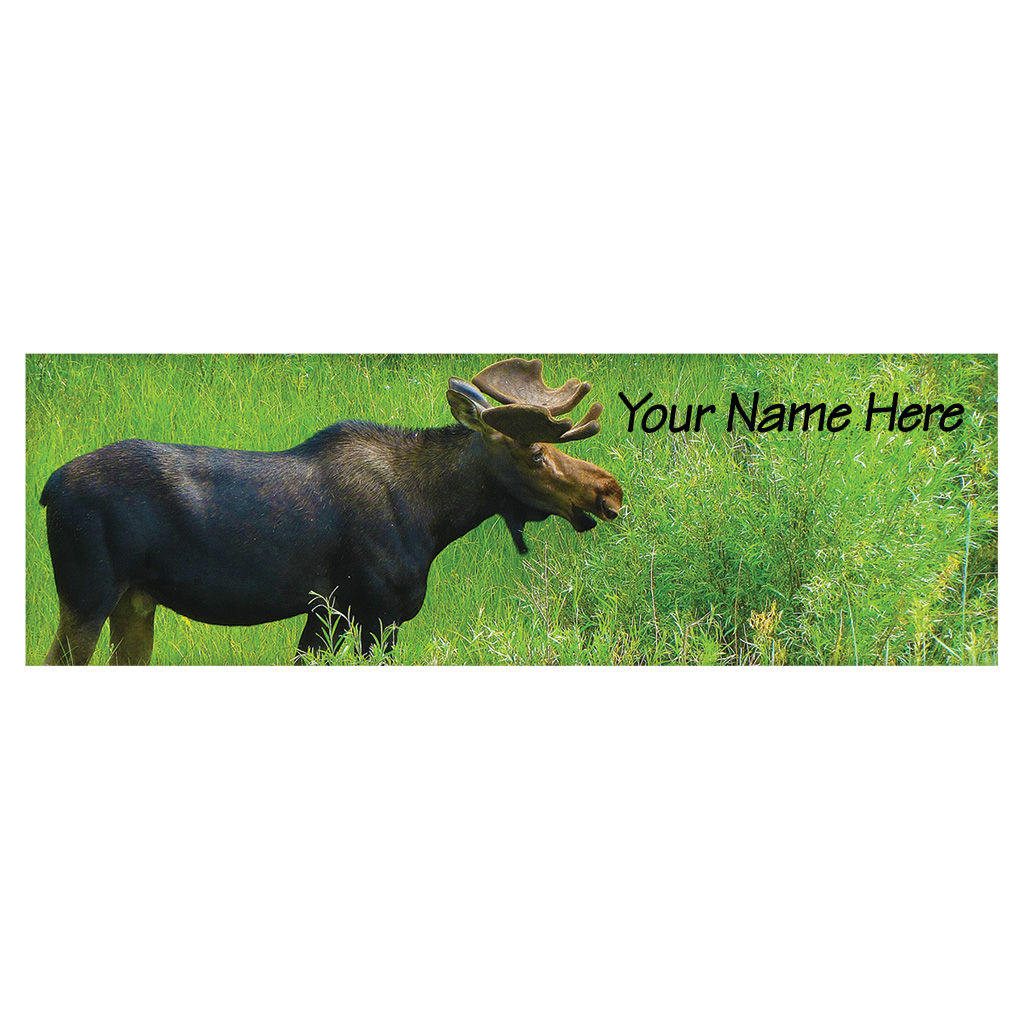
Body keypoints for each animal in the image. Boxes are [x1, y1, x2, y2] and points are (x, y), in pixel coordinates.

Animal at [39, 359, 624, 664]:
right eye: (536, 453)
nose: (610, 491)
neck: (435, 519)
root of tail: (47, 490)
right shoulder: (377, 612)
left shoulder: (327, 612)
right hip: (87, 597)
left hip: (135, 603)